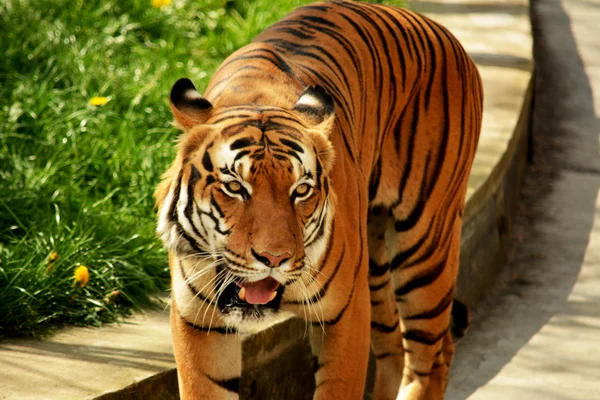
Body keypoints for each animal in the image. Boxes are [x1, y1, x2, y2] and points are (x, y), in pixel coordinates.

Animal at [155, 1, 482, 398]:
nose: (273, 259)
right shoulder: (197, 322)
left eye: (301, 190)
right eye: (234, 186)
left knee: (429, 359)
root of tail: (441, 30)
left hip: (424, 250)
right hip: (374, 267)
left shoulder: (347, 313)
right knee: (398, 347)